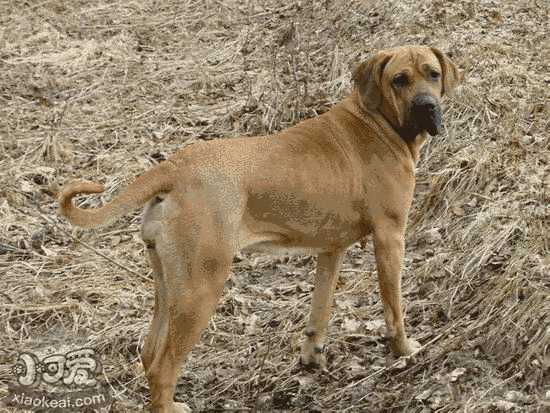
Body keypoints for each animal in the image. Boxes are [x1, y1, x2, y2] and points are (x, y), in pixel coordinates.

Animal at [58, 46, 462, 410]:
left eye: (433, 74)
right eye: (399, 80)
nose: (427, 106)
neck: (377, 120)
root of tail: (174, 167)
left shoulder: (331, 250)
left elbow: (320, 309)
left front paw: (312, 357)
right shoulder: (390, 237)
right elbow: (394, 307)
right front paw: (403, 350)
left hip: (169, 285)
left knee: (149, 352)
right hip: (201, 287)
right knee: (163, 367)